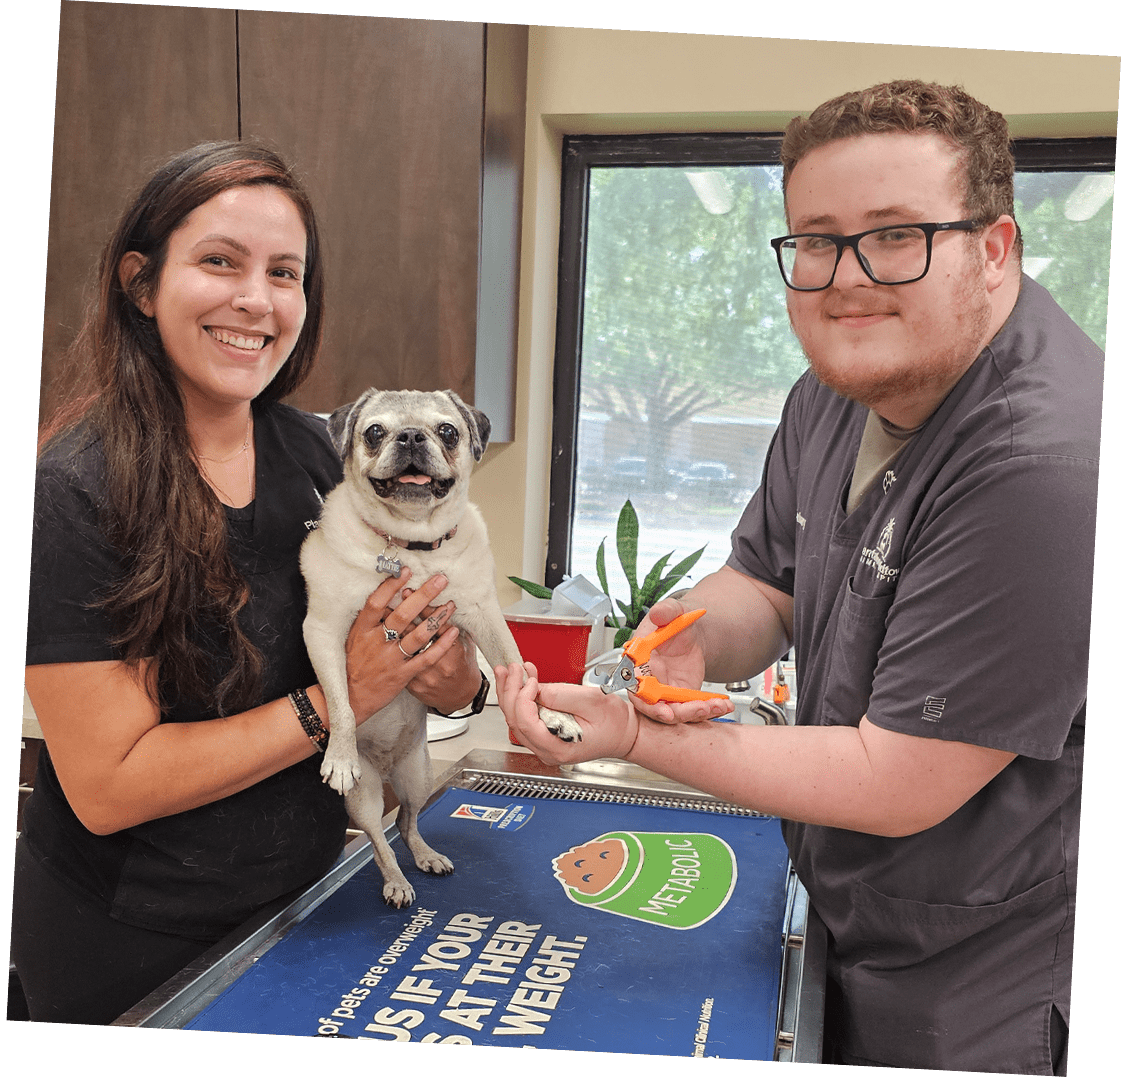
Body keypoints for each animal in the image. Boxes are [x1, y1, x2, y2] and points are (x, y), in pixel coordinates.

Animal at [301, 386, 580, 904]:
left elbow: (518, 667)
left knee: (408, 824)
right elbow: (341, 703)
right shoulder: (323, 630)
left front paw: (550, 715)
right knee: (379, 841)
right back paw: (396, 882)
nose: (411, 436)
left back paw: (426, 856)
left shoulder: (483, 615)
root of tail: (389, 766)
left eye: (447, 431)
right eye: (374, 432)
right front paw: (340, 754)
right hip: (367, 799)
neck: (412, 546)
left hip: (418, 778)